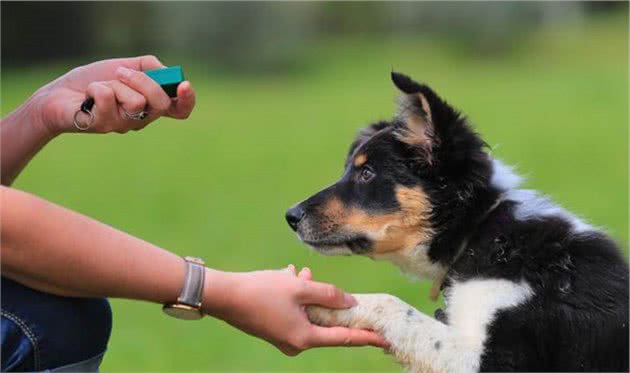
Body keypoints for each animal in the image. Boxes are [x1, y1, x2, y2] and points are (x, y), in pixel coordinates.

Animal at [288, 72, 630, 372]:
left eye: (367, 173)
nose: (291, 216)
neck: (481, 230)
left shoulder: (497, 359)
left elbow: (392, 304)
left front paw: (323, 303)